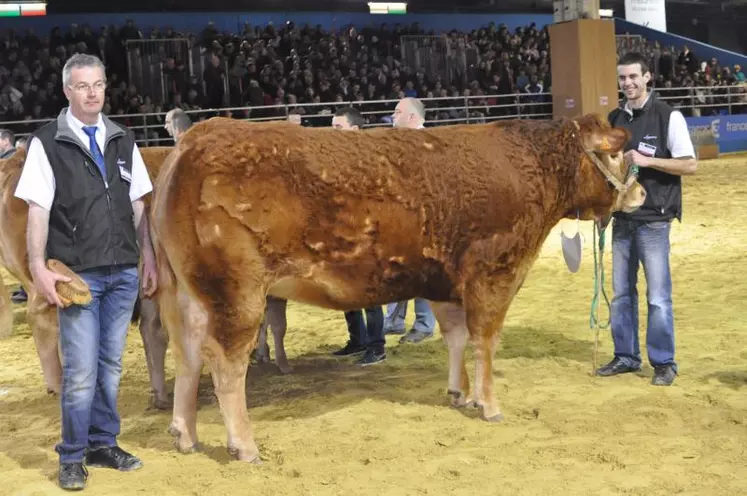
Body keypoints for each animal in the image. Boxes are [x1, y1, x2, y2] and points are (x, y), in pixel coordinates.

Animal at [150, 114, 644, 464]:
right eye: (615, 156)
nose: (639, 194)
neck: (531, 167)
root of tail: (194, 139)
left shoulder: (446, 283)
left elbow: (456, 338)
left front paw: (460, 393)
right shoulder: (494, 273)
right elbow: (485, 340)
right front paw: (488, 403)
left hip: (188, 293)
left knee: (188, 353)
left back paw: (184, 433)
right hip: (238, 292)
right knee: (226, 361)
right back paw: (244, 445)